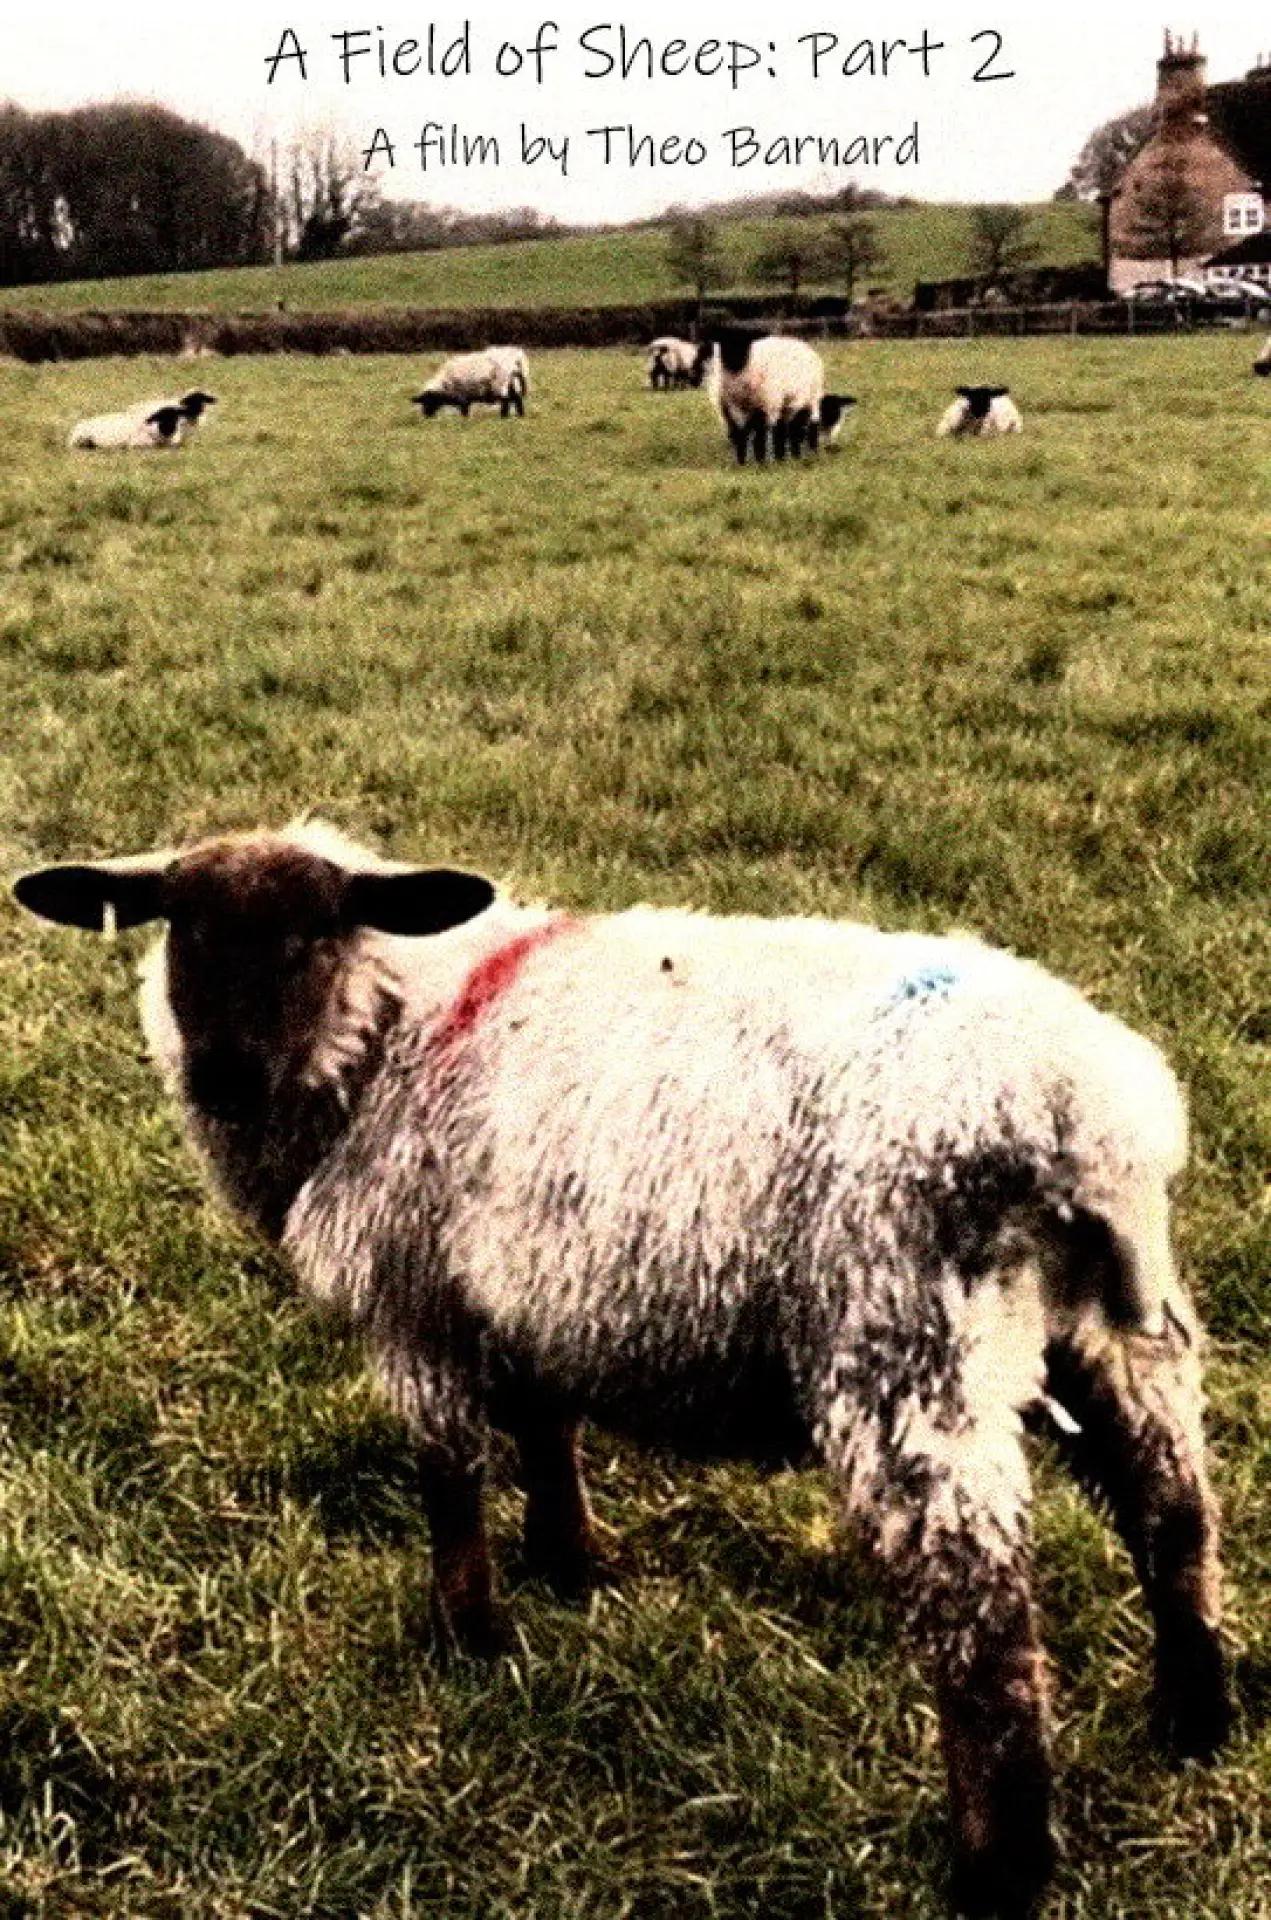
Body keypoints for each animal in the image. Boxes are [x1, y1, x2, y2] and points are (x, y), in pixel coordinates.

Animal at [14, 822, 1231, 1918]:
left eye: (316, 932)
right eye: (182, 928)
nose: (222, 1076)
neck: (392, 1025)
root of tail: (1086, 1119)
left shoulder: (418, 1305)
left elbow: (448, 1476)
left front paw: (472, 1639)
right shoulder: (529, 1289)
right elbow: (547, 1430)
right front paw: (570, 1567)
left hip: (904, 1346)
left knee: (982, 1626)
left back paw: (996, 1870)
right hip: (1116, 1330)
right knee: (1171, 1516)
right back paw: (1194, 1726)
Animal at [698, 328, 827, 463]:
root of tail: (805, 346)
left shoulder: (764, 405)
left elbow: (759, 436)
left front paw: (760, 461)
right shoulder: (732, 408)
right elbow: (739, 435)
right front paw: (741, 462)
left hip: (806, 399)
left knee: (801, 426)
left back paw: (805, 454)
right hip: (784, 404)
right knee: (783, 428)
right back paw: (783, 457)